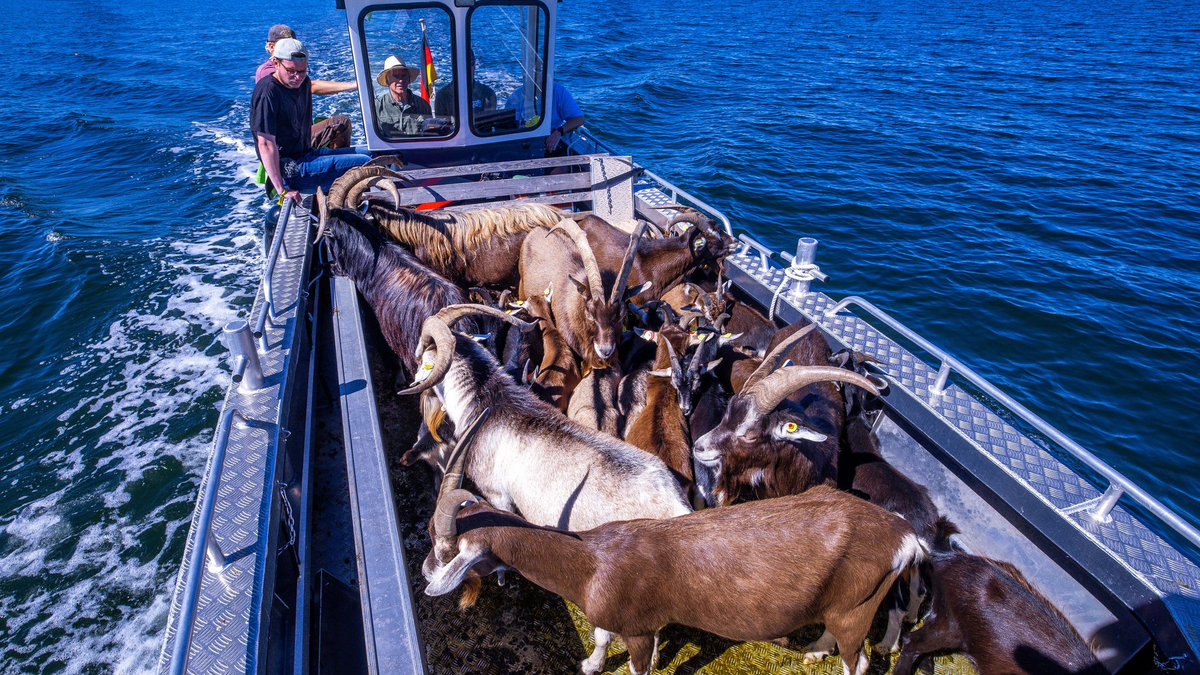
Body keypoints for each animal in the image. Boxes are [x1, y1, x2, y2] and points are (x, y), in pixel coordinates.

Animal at [426, 425, 927, 675]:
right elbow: (600, 638)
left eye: (446, 546)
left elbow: (638, 666)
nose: (428, 569)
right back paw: (814, 651)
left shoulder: (639, 631)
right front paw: (590, 664)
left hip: (858, 608)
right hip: (842, 606)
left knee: (860, 660)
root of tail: (904, 535)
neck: (593, 562)